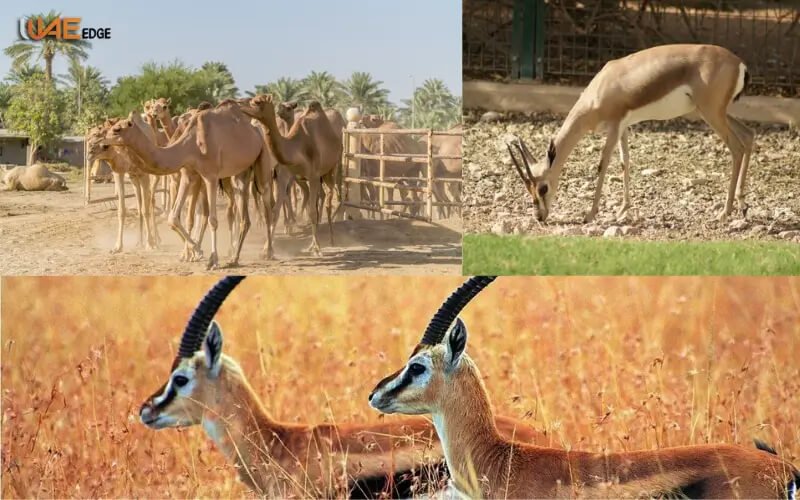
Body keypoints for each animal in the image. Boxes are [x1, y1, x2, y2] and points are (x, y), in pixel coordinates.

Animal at [101, 103, 274, 268]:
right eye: (109, 128)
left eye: (117, 129)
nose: (103, 144)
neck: (191, 145)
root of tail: (255, 129)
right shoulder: (188, 175)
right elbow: (173, 217)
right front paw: (197, 251)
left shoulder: (210, 176)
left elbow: (212, 220)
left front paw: (212, 260)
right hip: (240, 173)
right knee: (244, 214)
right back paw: (234, 258)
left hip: (263, 158)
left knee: (266, 202)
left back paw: (268, 252)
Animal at [238, 95, 342, 256]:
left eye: (258, 102)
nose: (240, 105)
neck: (296, 149)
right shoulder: (283, 176)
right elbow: (275, 211)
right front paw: (267, 249)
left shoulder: (312, 176)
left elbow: (312, 212)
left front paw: (317, 248)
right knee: (321, 197)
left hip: (331, 170)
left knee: (329, 199)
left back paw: (330, 239)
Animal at [507, 44, 755, 225]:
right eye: (528, 188)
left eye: (543, 187)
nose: (539, 217)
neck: (600, 89)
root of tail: (739, 63)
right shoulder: (624, 127)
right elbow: (625, 162)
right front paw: (622, 210)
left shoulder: (615, 125)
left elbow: (603, 165)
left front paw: (590, 214)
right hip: (711, 112)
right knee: (749, 134)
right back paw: (742, 205)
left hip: (711, 113)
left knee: (736, 147)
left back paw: (725, 212)